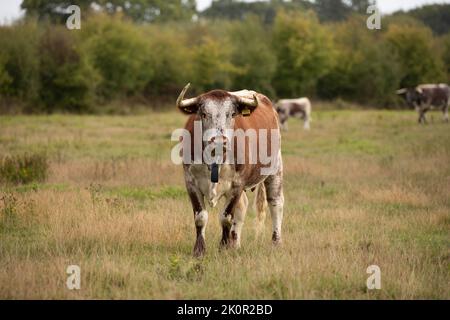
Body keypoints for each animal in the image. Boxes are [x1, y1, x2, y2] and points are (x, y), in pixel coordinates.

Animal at [177, 84, 284, 256]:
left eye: (232, 114)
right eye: (204, 114)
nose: (219, 142)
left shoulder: (237, 184)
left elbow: (226, 217)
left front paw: (223, 247)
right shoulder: (190, 183)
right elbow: (200, 217)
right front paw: (199, 250)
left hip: (275, 168)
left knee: (276, 203)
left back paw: (276, 242)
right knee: (242, 207)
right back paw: (235, 243)